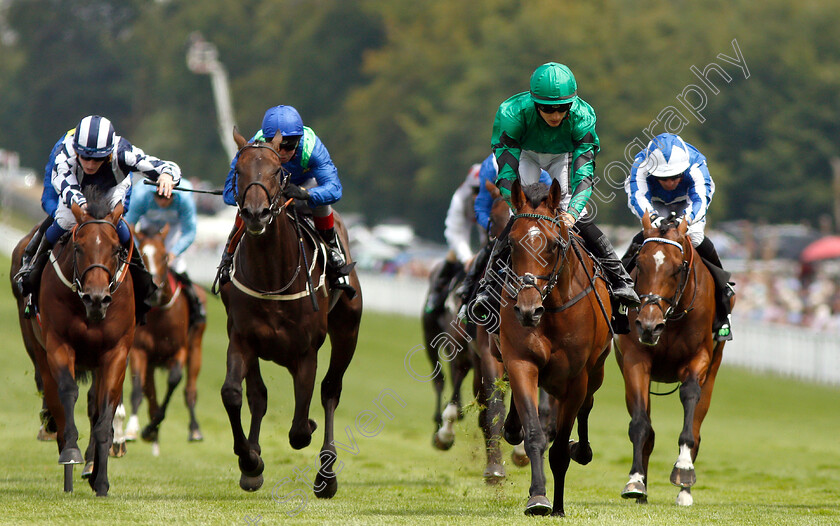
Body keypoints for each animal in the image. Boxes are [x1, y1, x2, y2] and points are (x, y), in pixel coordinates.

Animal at [8, 191, 135, 500]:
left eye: (116, 249)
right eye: (78, 247)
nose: (96, 298)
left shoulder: (116, 353)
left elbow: (103, 410)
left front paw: (101, 479)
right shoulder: (59, 345)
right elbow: (67, 392)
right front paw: (71, 452)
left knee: (93, 404)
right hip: (37, 349)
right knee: (54, 398)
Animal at [124, 225, 207, 452]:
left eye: (163, 257)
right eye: (142, 255)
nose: (154, 290)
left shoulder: (180, 350)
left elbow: (174, 380)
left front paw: (152, 426)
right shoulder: (140, 351)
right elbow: (138, 390)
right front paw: (134, 430)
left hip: (196, 349)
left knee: (190, 390)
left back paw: (194, 429)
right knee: (149, 391)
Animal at [220, 130, 360, 498]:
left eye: (276, 173)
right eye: (238, 171)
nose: (255, 213)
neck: (273, 277)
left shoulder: (305, 351)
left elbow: (299, 429)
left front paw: (309, 428)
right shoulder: (241, 338)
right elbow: (234, 394)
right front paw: (249, 460)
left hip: (347, 331)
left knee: (330, 390)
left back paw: (326, 475)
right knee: (258, 396)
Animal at [498, 179, 612, 516]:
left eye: (552, 245)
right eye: (512, 243)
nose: (527, 310)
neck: (549, 309)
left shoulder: (576, 379)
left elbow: (560, 449)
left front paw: (558, 506)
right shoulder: (522, 362)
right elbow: (535, 434)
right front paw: (538, 497)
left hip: (596, 371)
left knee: (587, 405)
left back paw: (583, 450)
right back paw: (513, 426)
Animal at [612, 211, 732, 508]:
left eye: (678, 268)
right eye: (639, 264)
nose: (649, 325)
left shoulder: (699, 359)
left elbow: (690, 399)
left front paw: (684, 469)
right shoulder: (634, 360)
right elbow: (640, 425)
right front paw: (635, 482)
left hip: (714, 369)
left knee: (698, 423)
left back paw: (685, 492)